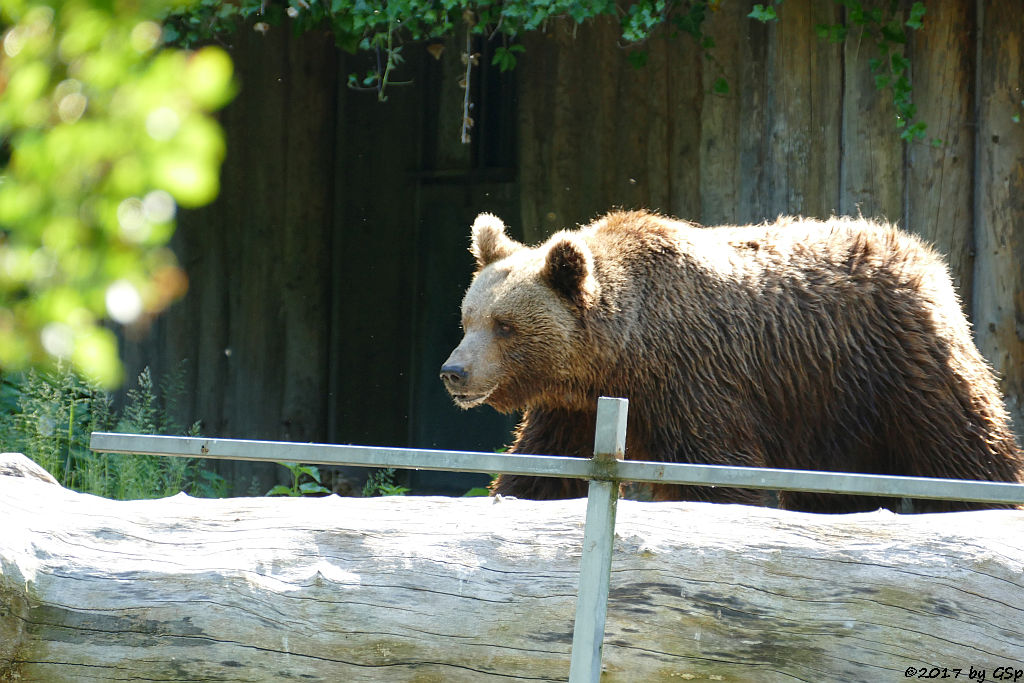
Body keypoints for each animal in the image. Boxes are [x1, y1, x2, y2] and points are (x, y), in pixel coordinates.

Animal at [442, 209, 1024, 511]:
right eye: (468, 318)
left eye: (505, 325)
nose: (454, 372)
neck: (620, 356)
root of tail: (917, 250)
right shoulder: (576, 408)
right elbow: (544, 468)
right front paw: (515, 494)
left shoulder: (695, 376)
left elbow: (719, 474)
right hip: (832, 410)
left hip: (897, 361)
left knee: (963, 448)